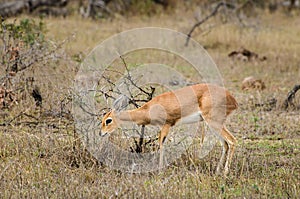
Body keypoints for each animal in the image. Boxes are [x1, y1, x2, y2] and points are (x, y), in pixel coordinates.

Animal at [100, 83, 237, 175]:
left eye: (108, 120)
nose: (101, 133)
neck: (149, 109)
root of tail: (232, 99)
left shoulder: (166, 125)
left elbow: (161, 145)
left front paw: (160, 170)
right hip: (213, 124)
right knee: (225, 144)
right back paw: (217, 171)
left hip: (214, 122)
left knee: (232, 141)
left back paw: (225, 173)